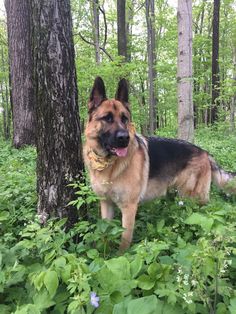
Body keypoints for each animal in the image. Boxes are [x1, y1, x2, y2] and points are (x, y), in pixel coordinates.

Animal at [84, 76, 235, 250]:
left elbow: (124, 242)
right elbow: (105, 236)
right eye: (107, 118)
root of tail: (205, 152)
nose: (125, 138)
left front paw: (120, 255)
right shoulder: (106, 204)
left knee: (206, 215)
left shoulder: (129, 208)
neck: (108, 163)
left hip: (194, 197)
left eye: (124, 119)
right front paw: (105, 253)